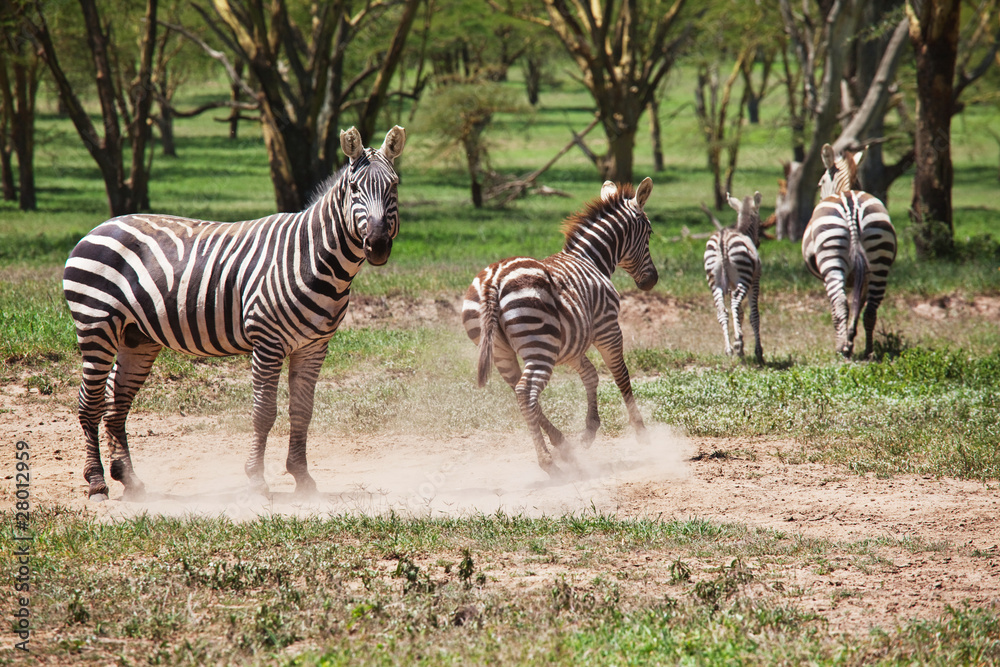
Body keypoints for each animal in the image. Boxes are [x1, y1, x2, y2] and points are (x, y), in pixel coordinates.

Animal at [63, 125, 406, 501]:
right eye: (355, 188)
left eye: (394, 186)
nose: (377, 245)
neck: (313, 257)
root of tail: (99, 227)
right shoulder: (267, 342)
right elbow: (263, 412)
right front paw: (256, 480)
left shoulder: (313, 346)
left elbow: (303, 410)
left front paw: (302, 477)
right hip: (96, 324)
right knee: (90, 402)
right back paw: (97, 482)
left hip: (136, 337)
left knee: (117, 401)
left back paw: (128, 479)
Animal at [462, 179, 658, 479]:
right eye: (649, 233)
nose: (652, 281)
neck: (591, 259)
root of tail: (494, 280)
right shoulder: (608, 328)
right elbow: (621, 375)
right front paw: (642, 433)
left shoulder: (572, 345)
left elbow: (591, 376)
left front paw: (589, 432)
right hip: (540, 346)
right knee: (526, 391)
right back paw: (547, 461)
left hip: (502, 351)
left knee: (519, 391)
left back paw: (563, 446)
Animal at [703, 191, 764, 363]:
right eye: (760, 223)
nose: (758, 242)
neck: (742, 230)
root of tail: (723, 239)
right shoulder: (755, 280)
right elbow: (754, 315)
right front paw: (758, 351)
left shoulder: (730, 285)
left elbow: (740, 314)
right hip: (744, 277)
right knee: (735, 303)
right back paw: (738, 343)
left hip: (714, 282)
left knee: (722, 310)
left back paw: (729, 349)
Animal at [802, 143, 896, 358]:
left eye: (819, 183)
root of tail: (851, 205)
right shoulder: (864, 277)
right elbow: (858, 305)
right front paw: (851, 339)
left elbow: (840, 307)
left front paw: (846, 342)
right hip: (879, 259)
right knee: (871, 310)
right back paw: (869, 351)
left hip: (831, 260)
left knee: (840, 303)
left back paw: (840, 349)